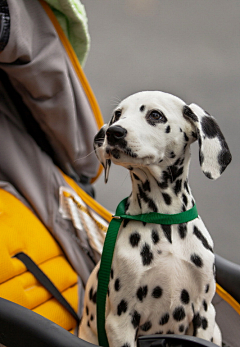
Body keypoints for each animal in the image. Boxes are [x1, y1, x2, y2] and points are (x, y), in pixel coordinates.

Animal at [79, 91, 231, 346]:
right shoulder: (121, 321)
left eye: (155, 115)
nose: (114, 132)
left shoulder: (205, 313)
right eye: (117, 115)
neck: (164, 219)